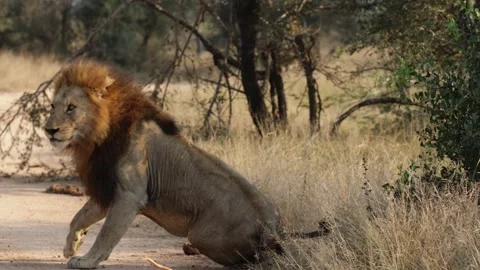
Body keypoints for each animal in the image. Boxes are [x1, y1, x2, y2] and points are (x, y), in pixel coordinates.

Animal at [42, 60, 284, 268]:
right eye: (52, 106)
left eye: (71, 107)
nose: (49, 130)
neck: (98, 136)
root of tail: (270, 227)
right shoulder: (108, 186)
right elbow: (80, 216)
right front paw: (72, 245)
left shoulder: (130, 194)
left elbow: (107, 233)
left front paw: (87, 260)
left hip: (202, 235)